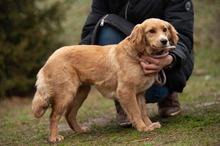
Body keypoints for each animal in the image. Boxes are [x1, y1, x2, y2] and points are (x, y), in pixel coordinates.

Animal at [31, 17, 178, 142]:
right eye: (151, 31)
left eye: (164, 29)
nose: (164, 41)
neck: (138, 54)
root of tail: (49, 59)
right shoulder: (125, 91)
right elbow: (136, 112)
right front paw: (143, 127)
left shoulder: (140, 93)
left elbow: (143, 112)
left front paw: (149, 124)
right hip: (66, 94)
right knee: (54, 116)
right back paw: (54, 137)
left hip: (81, 92)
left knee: (69, 115)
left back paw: (80, 130)